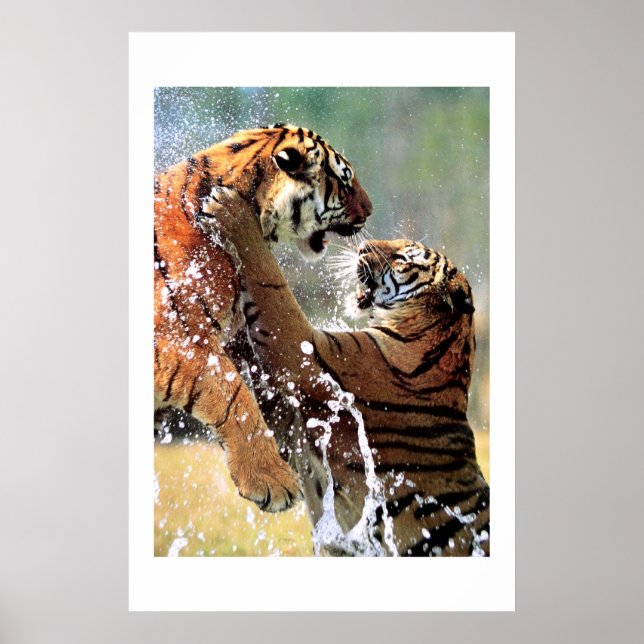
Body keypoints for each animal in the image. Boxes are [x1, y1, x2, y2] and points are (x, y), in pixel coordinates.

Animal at [209, 188, 489, 556]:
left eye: (402, 258)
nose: (361, 246)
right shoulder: (293, 432)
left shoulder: (308, 352)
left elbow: (271, 284)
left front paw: (231, 209)